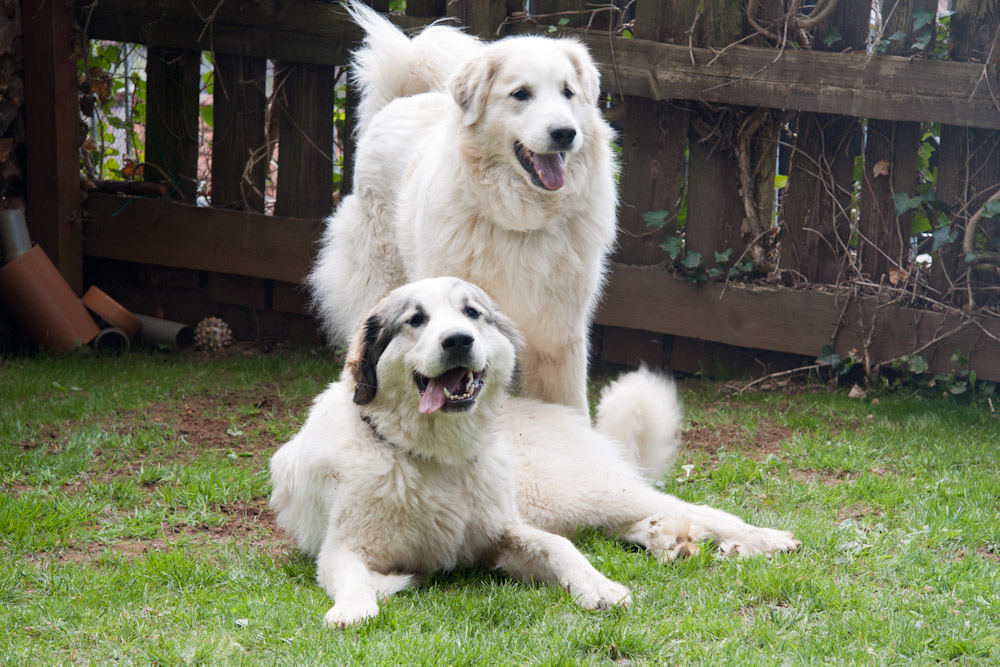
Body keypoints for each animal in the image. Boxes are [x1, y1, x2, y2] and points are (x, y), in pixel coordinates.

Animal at [270, 280, 800, 628]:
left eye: (472, 314)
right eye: (415, 320)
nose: (458, 340)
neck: (434, 458)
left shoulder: (502, 533)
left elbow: (558, 547)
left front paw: (598, 586)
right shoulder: (343, 551)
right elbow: (352, 577)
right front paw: (354, 607)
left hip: (582, 493)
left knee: (696, 510)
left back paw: (760, 539)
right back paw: (667, 539)